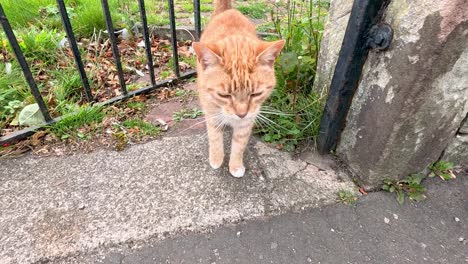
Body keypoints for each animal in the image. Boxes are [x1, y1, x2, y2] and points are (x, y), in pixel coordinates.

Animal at [191, 0, 286, 177]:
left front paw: (235, 166)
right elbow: (214, 137)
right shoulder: (211, 111)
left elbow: (239, 145)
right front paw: (216, 159)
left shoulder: (248, 121)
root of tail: (229, 10)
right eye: (224, 95)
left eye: (256, 94)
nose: (241, 114)